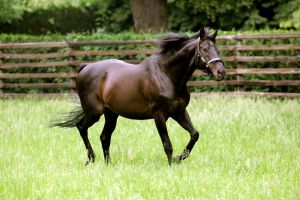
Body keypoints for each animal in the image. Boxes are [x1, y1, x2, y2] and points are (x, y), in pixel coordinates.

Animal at [51, 27, 225, 165]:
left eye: (216, 48)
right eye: (204, 49)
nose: (221, 72)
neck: (166, 75)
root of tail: (85, 68)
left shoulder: (179, 112)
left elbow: (194, 135)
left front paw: (178, 159)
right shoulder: (159, 115)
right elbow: (167, 144)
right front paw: (171, 164)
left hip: (111, 114)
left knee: (104, 136)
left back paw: (108, 164)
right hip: (94, 112)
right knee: (81, 127)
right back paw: (91, 159)